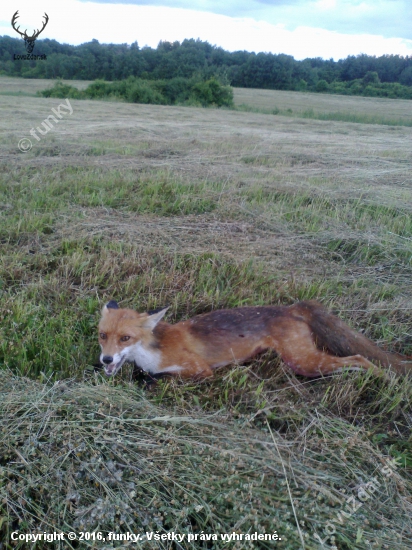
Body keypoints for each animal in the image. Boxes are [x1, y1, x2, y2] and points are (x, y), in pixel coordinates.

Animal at [97, 300, 412, 382]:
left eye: (125, 338)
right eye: (103, 336)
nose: (105, 359)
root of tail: (292, 307)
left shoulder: (200, 370)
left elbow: (160, 376)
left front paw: (146, 380)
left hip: (304, 362)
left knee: (359, 358)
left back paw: (384, 380)